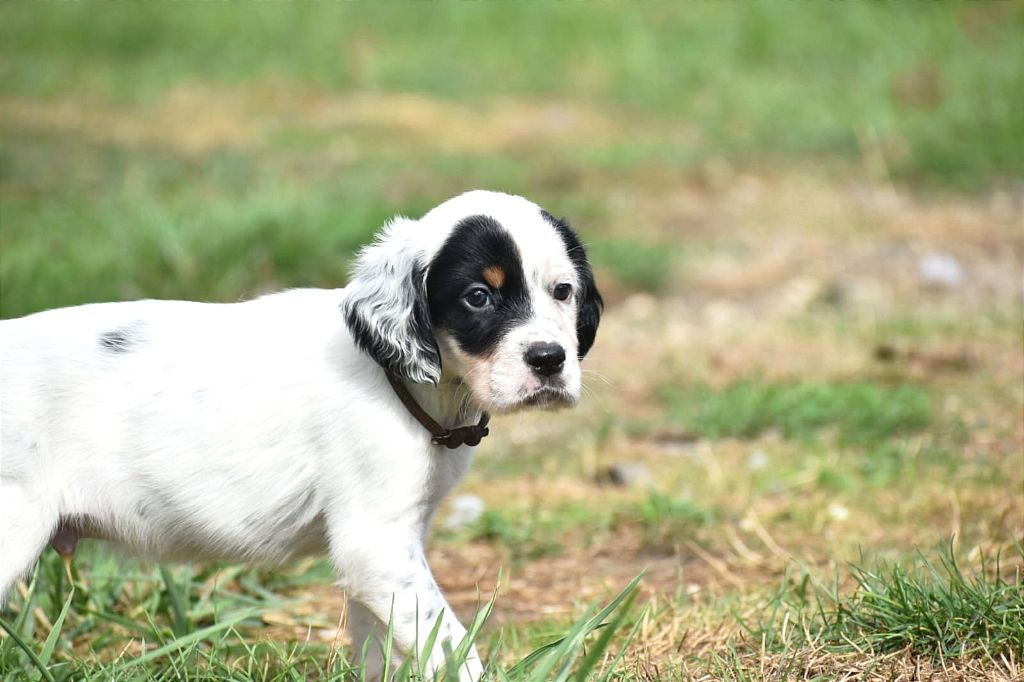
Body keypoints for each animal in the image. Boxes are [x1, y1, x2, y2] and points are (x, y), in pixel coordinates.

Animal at [0, 188, 598, 675]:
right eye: (479, 296)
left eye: (563, 291)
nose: (550, 360)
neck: (401, 381)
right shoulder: (375, 544)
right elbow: (451, 643)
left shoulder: (391, 555)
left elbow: (383, 647)